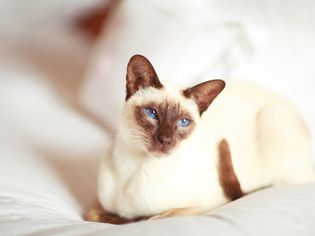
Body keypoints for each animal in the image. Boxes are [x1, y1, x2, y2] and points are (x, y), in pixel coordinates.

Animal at [86, 54, 315, 224]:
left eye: (183, 122)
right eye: (152, 113)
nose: (165, 139)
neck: (134, 169)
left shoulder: (205, 205)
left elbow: (155, 217)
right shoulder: (97, 207)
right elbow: (95, 214)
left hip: (273, 125)